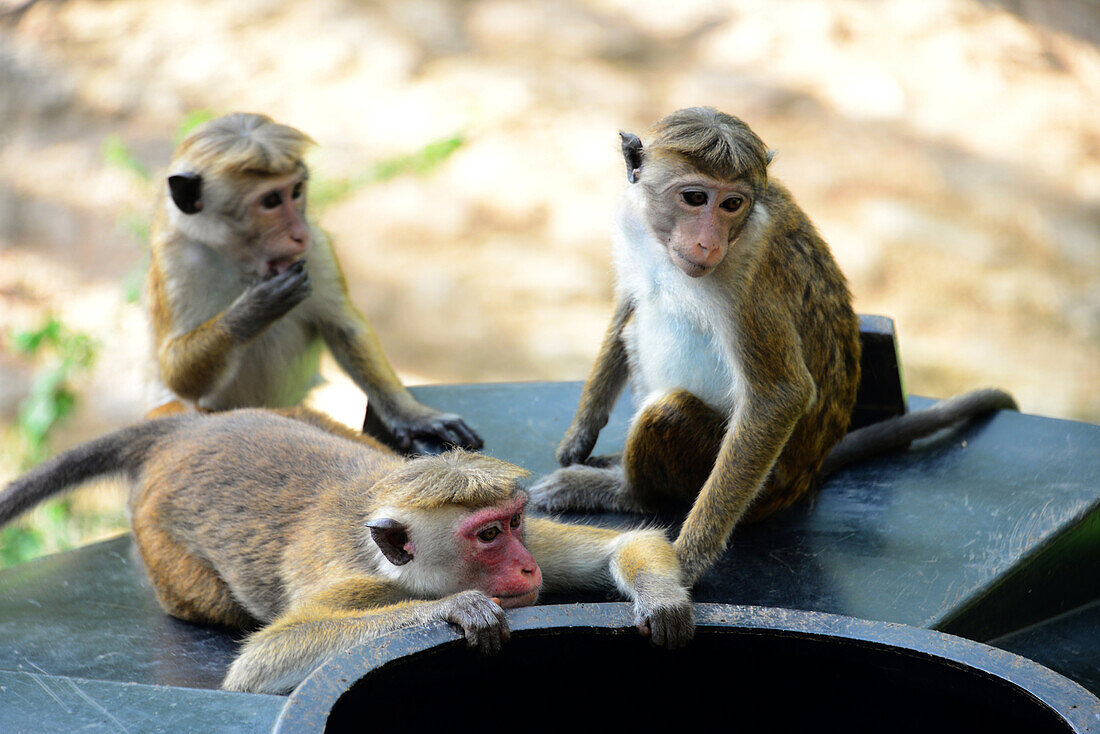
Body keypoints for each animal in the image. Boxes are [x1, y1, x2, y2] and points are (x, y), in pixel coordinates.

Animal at [0, 407, 690, 695]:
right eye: (487, 537)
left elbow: (626, 543)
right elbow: (259, 665)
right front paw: (455, 609)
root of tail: (184, 430)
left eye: (514, 523)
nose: (525, 565)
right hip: (162, 545)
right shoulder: (356, 585)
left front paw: (662, 600)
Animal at [144, 112, 479, 451]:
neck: (243, 264)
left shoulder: (316, 248)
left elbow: (343, 326)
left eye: (296, 191)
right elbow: (175, 372)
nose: (299, 233)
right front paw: (254, 309)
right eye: (271, 201)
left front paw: (412, 416)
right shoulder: (176, 261)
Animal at [528, 106, 1016, 585]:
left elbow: (780, 395)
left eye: (732, 204)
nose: (708, 242)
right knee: (639, 322)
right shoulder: (633, 224)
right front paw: (580, 433)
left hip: (754, 483)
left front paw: (687, 559)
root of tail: (806, 478)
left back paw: (624, 490)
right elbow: (627, 303)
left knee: (667, 412)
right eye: (694, 198)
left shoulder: (746, 279)